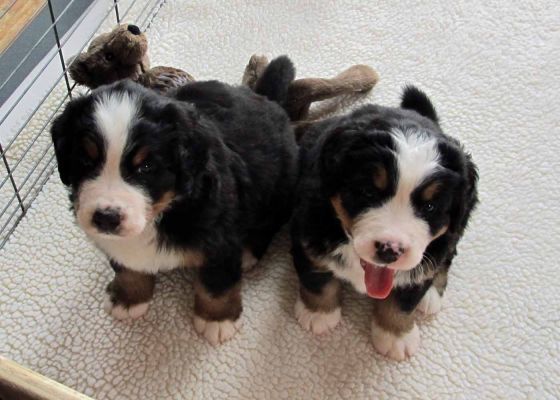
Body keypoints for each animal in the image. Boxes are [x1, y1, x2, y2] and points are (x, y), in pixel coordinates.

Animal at [50, 55, 300, 344]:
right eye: (85, 159)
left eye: (146, 166)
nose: (106, 218)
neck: (163, 212)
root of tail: (264, 98)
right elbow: (126, 267)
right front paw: (129, 298)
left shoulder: (219, 238)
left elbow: (216, 283)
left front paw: (217, 320)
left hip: (280, 187)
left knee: (269, 223)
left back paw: (248, 252)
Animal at [290, 86, 480, 360]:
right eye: (368, 192)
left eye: (430, 207)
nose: (390, 250)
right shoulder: (309, 233)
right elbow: (317, 278)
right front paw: (318, 314)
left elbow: (404, 300)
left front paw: (395, 335)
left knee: (445, 256)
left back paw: (431, 295)